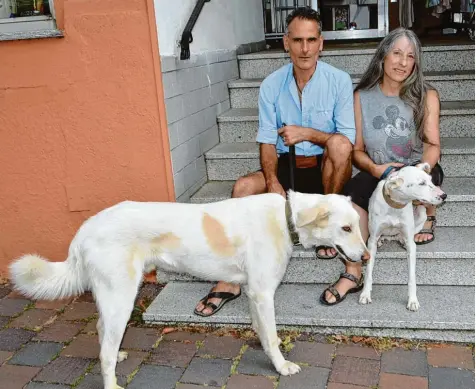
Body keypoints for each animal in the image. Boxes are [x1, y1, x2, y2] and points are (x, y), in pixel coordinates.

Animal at [10, 191, 368, 388]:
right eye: (345, 228)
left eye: (358, 227)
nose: (366, 257)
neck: (286, 218)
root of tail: (85, 228)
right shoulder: (264, 293)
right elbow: (271, 336)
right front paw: (281, 366)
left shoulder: (255, 294)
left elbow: (264, 333)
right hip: (122, 297)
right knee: (104, 350)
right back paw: (112, 383)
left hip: (114, 297)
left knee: (102, 332)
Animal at [360, 162, 446, 310]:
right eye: (421, 183)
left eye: (431, 180)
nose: (444, 195)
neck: (395, 206)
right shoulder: (372, 240)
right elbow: (369, 272)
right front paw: (365, 294)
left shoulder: (411, 245)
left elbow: (412, 277)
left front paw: (412, 300)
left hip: (419, 217)